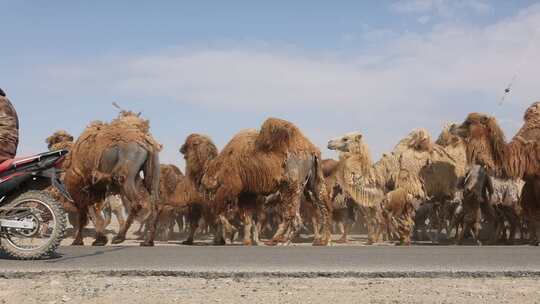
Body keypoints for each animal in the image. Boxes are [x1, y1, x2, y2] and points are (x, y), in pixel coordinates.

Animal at [63, 110, 160, 246]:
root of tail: (145, 141)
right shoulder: (96, 189)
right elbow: (96, 213)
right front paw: (99, 239)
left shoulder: (83, 191)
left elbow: (87, 215)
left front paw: (81, 241)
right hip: (153, 171)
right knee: (154, 202)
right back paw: (148, 241)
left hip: (125, 174)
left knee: (136, 201)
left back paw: (120, 237)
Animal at [200, 117, 332, 246]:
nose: (204, 185)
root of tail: (312, 151)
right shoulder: (247, 193)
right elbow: (246, 218)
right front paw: (246, 240)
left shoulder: (231, 186)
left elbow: (219, 210)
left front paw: (234, 233)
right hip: (311, 183)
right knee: (320, 207)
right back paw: (318, 241)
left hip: (292, 186)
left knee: (292, 216)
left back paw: (278, 240)